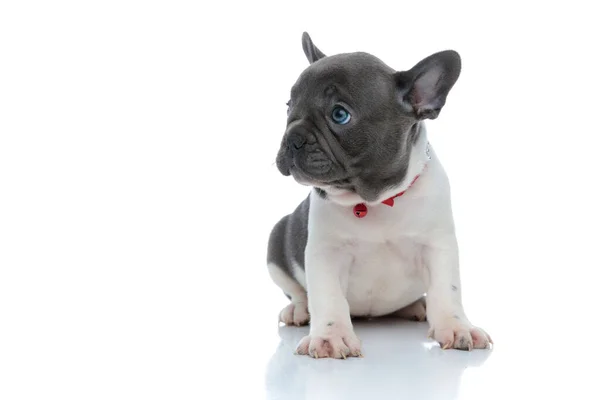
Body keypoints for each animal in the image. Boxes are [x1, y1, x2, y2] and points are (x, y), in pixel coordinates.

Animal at [268, 32, 492, 358]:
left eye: (339, 114)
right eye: (288, 107)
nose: (292, 137)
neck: (377, 199)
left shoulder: (438, 246)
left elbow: (447, 289)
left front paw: (456, 326)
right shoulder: (326, 252)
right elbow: (328, 295)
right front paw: (330, 336)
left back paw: (417, 305)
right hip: (277, 238)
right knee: (297, 291)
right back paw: (299, 310)